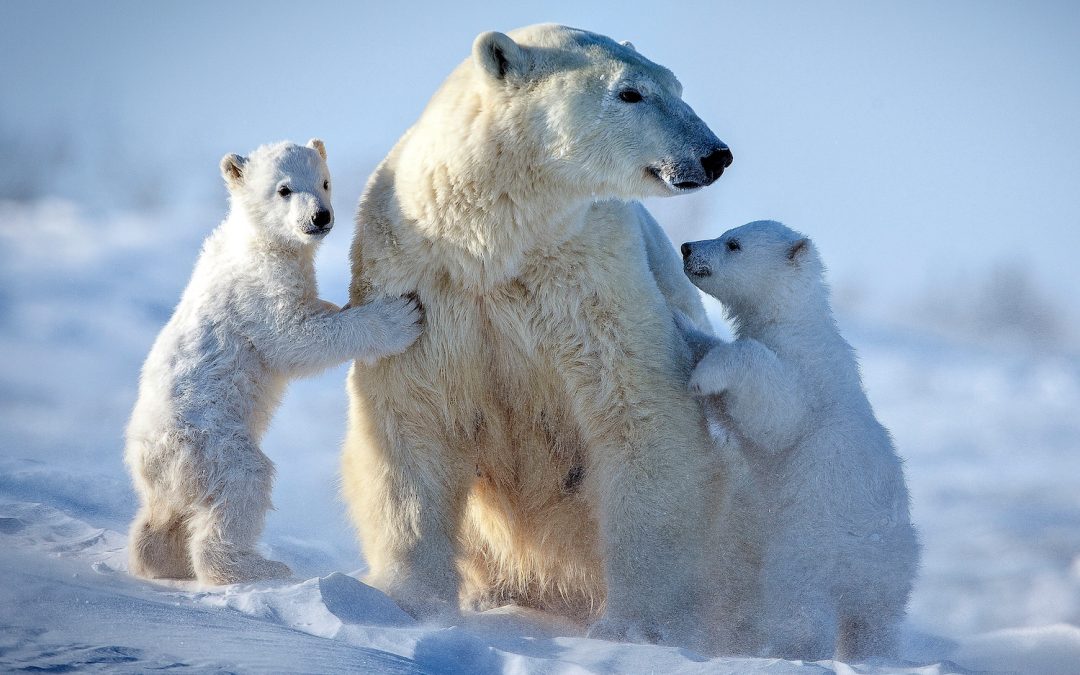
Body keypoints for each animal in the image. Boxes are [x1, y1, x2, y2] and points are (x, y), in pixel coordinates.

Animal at [125, 139, 423, 586]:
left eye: (324, 182)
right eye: (284, 189)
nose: (321, 216)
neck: (256, 239)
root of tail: (144, 462)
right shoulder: (259, 287)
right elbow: (293, 337)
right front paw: (399, 315)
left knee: (163, 517)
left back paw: (158, 558)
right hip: (209, 442)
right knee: (242, 483)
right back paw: (256, 566)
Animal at [341, 24, 735, 650]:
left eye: (676, 84)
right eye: (630, 93)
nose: (714, 153)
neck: (495, 243)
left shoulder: (592, 282)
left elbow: (638, 412)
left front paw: (639, 626)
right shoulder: (421, 283)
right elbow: (412, 419)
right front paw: (409, 606)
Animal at [678, 220, 920, 660]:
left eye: (733, 243)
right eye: (726, 233)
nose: (687, 247)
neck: (795, 322)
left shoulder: (805, 374)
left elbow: (777, 414)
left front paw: (703, 375)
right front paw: (686, 329)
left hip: (810, 548)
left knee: (801, 605)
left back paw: (791, 651)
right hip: (893, 577)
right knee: (875, 623)